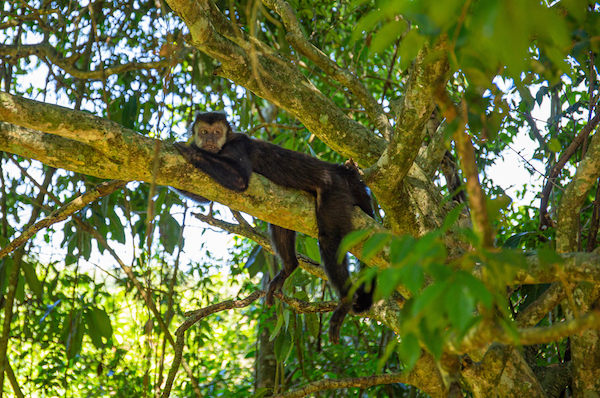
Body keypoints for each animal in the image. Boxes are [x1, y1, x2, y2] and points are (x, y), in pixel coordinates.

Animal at [171, 110, 376, 344]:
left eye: (217, 132)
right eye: (204, 132)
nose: (210, 141)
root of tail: (341, 171)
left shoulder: (238, 145)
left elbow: (239, 179)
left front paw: (189, 150)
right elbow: (202, 194)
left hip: (335, 189)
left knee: (329, 241)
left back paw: (344, 300)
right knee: (279, 218)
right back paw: (289, 266)